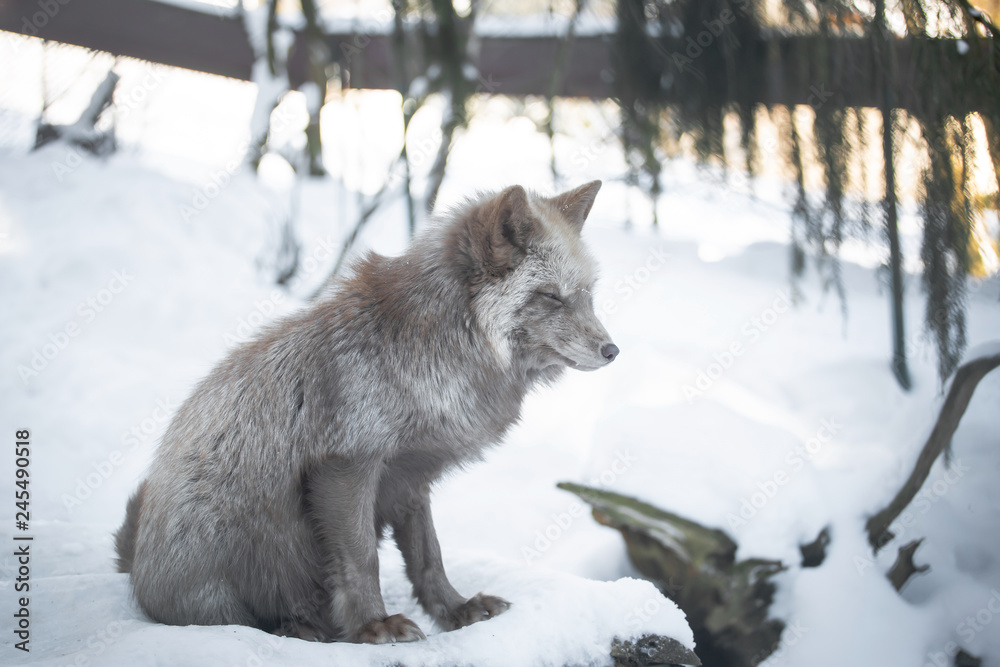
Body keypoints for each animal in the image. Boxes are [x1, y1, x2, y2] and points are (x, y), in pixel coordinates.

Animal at [114, 180, 618, 643]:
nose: (612, 351)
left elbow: (429, 558)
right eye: (551, 296)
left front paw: (457, 611)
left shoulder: (410, 478)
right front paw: (373, 625)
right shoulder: (345, 466)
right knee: (245, 620)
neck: (433, 350)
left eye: (588, 295)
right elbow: (361, 560)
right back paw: (298, 628)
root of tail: (135, 563)